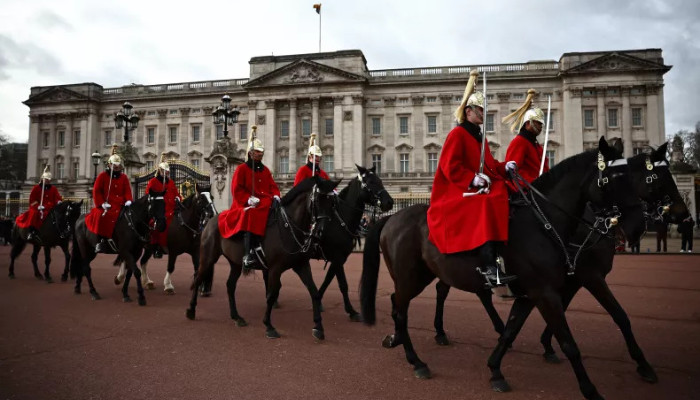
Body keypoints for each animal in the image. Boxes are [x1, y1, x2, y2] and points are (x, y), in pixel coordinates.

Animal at [186, 177, 340, 340]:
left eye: (332, 203)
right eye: (317, 200)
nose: (320, 233)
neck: (288, 227)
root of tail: (211, 220)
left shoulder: (301, 265)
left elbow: (314, 292)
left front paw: (318, 327)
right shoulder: (275, 269)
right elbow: (271, 295)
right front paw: (269, 325)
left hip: (235, 263)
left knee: (230, 285)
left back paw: (236, 317)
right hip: (208, 258)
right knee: (198, 278)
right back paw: (191, 310)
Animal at [360, 138, 644, 400]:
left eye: (635, 176)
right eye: (613, 178)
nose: (637, 227)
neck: (543, 223)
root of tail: (392, 218)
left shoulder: (534, 292)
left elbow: (511, 330)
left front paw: (496, 370)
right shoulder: (549, 291)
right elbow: (569, 342)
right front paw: (590, 390)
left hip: (420, 276)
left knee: (400, 303)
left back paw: (398, 341)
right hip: (411, 277)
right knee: (401, 311)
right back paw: (416, 361)